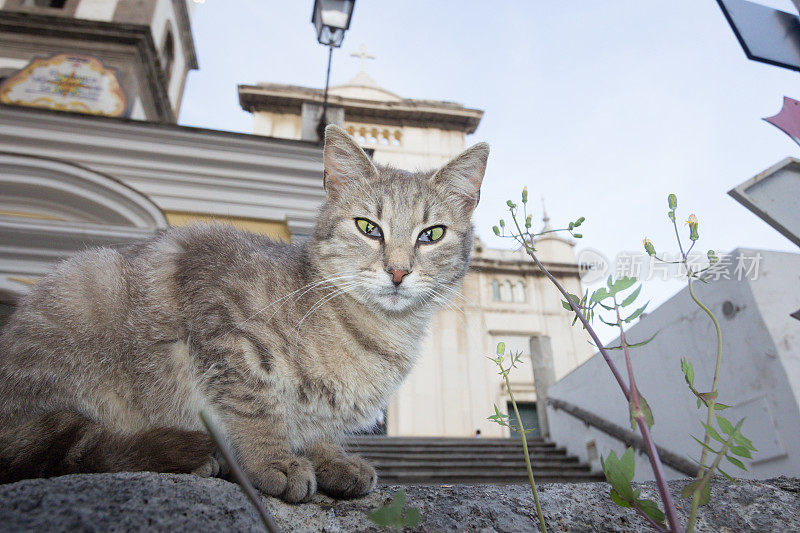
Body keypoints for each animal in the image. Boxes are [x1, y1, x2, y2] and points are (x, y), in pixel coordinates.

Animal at [0, 123, 488, 498]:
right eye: (369, 227)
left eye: (432, 233)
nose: (399, 271)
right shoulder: (223, 325)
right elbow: (255, 406)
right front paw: (273, 461)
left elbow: (316, 428)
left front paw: (332, 459)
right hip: (83, 297)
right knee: (71, 450)